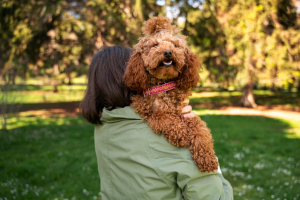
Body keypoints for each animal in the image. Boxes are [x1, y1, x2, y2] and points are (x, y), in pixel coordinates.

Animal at [123, 16, 218, 172]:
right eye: (155, 45)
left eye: (175, 45)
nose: (168, 52)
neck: (164, 86)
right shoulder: (148, 110)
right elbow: (163, 117)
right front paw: (182, 134)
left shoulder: (186, 113)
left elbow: (200, 130)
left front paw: (207, 158)